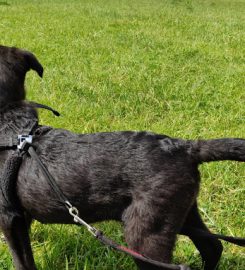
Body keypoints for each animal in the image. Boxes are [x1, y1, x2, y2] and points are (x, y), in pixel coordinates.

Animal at [0, 44, 245, 270]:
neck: (9, 120)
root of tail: (185, 148)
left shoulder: (10, 218)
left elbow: (22, 261)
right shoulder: (22, 217)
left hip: (147, 234)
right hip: (181, 213)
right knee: (213, 247)